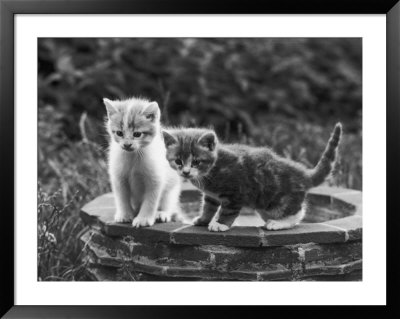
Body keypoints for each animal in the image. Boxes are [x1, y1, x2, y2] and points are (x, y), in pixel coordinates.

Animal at [104, 97, 183, 228]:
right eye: (119, 133)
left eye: (137, 134)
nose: (127, 145)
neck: (133, 156)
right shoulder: (119, 177)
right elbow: (121, 197)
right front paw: (124, 215)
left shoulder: (155, 178)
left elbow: (150, 200)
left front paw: (143, 219)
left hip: (172, 190)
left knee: (169, 204)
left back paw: (162, 214)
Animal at [162, 124, 340, 232]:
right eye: (178, 161)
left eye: (196, 162)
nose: (186, 172)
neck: (212, 169)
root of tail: (302, 173)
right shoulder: (211, 196)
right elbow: (208, 208)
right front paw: (203, 220)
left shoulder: (236, 192)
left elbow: (227, 211)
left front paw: (220, 224)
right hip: (263, 205)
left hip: (277, 201)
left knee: (298, 213)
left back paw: (278, 223)